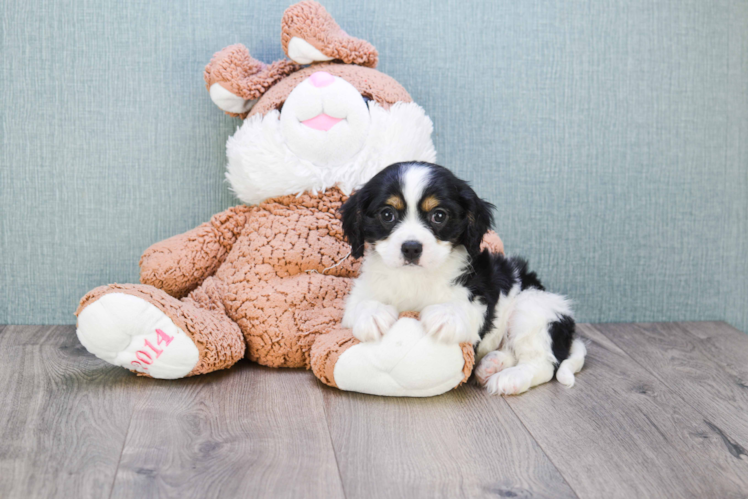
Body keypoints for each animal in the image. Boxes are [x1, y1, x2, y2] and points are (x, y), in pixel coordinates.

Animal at [342, 162, 588, 396]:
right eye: (387, 214)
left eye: (439, 215)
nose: (411, 248)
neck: (415, 278)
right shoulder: (360, 293)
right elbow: (359, 304)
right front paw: (373, 314)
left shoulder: (481, 293)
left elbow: (465, 307)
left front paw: (446, 314)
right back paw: (492, 365)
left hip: (532, 310)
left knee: (543, 363)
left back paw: (511, 378)